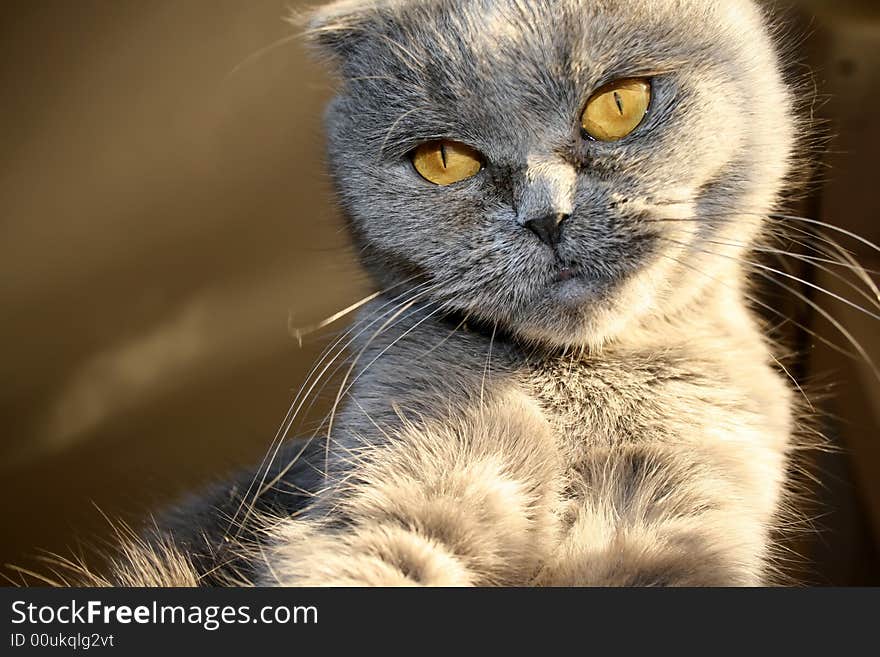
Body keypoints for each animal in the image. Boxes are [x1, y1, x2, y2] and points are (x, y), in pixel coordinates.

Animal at [93, 0, 816, 584]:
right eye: (444, 160)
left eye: (618, 105)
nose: (546, 217)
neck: (576, 393)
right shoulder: (403, 478)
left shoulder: (685, 508)